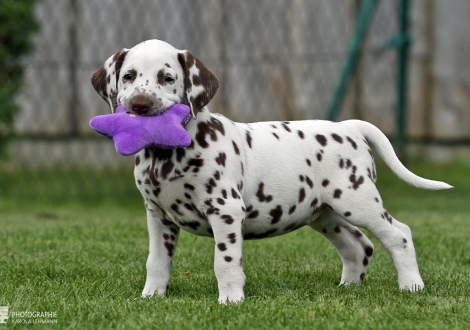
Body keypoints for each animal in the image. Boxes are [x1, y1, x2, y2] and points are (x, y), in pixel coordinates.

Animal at [91, 39, 452, 304]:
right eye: (128, 76)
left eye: (167, 78)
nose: (139, 105)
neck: (167, 156)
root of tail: (349, 126)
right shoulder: (157, 215)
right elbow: (157, 262)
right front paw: (151, 297)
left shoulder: (225, 211)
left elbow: (225, 262)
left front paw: (231, 300)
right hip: (324, 214)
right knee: (358, 246)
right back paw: (347, 289)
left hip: (358, 201)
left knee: (399, 235)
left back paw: (412, 287)